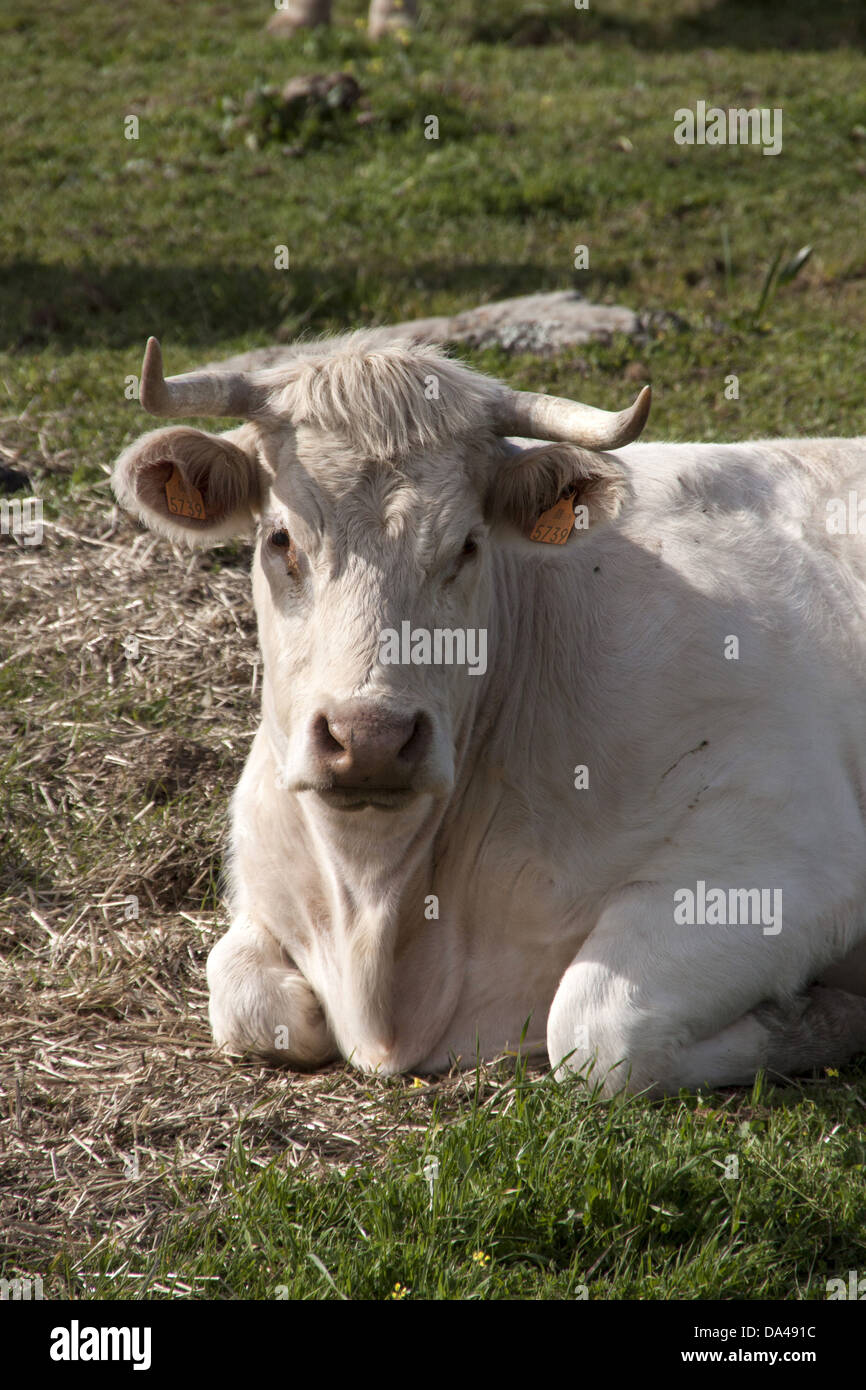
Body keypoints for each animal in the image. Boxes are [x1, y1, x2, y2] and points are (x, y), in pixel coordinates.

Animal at [112, 332, 866, 1096]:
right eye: (280, 540)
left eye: (467, 546)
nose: (371, 739)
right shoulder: (262, 883)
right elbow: (248, 1001)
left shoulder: (792, 856)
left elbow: (596, 1030)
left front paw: (826, 1018)